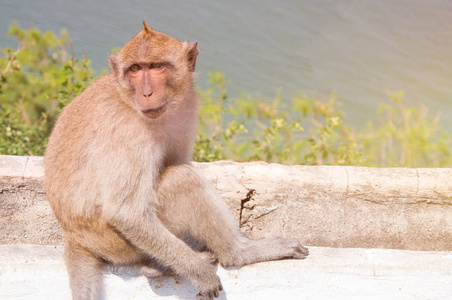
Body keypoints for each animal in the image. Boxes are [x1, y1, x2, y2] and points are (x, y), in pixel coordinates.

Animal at [44, 21, 308, 300]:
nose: (147, 93)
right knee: (182, 180)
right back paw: (237, 254)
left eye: (156, 66)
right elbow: (127, 213)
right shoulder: (129, 132)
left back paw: (158, 267)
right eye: (135, 69)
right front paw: (200, 272)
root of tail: (75, 238)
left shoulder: (186, 110)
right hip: (119, 244)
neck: (128, 99)